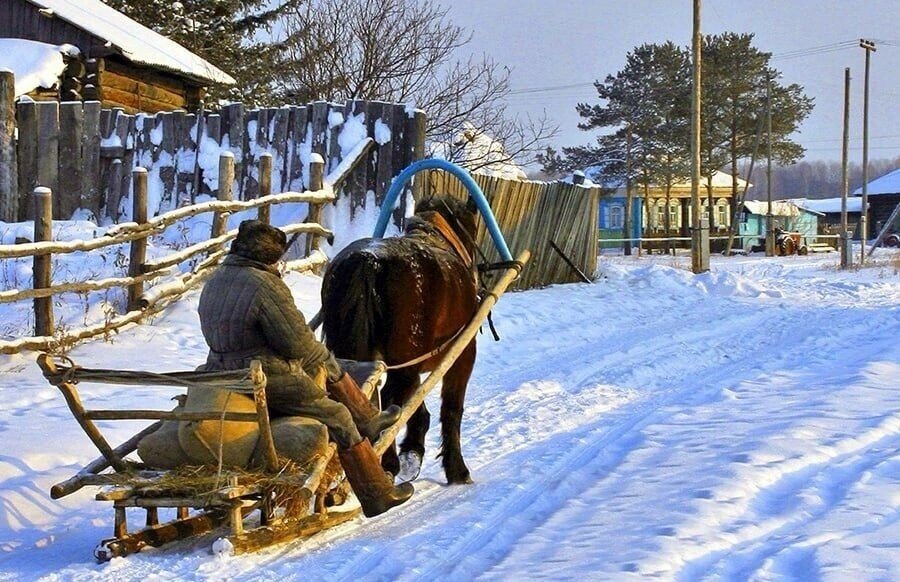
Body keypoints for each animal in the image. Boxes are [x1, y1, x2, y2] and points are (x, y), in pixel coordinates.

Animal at [322, 194, 478, 486]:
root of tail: (369, 260)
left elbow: (418, 408)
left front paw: (413, 454)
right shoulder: (463, 353)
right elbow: (451, 409)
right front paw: (457, 470)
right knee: (391, 401)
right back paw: (388, 463)